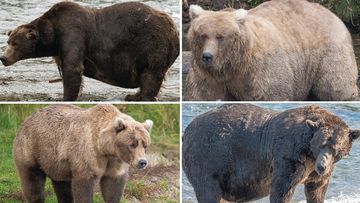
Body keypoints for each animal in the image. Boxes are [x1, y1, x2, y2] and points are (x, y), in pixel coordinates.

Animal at [0, 0, 180, 100]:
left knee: (151, 73)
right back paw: (134, 95)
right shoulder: (60, 48)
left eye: (15, 43)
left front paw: (66, 97)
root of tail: (174, 30)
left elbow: (72, 69)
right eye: (8, 41)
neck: (53, 34)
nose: (3, 58)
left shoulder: (73, 34)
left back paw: (138, 97)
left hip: (151, 43)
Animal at [13, 104, 152, 203]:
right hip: (32, 150)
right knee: (33, 183)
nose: (142, 162)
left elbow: (113, 187)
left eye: (145, 144)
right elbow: (84, 187)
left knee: (62, 186)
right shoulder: (87, 153)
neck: (105, 148)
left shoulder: (116, 161)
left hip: (56, 162)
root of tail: (26, 120)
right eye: (132, 144)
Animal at [183, 104, 360, 202]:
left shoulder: (315, 171)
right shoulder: (289, 156)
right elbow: (282, 189)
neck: (309, 152)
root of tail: (187, 130)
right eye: (321, 144)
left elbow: (317, 190)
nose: (322, 166)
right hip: (208, 158)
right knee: (208, 191)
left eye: (335, 148)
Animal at [184, 0, 358, 101]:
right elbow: (204, 95)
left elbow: (272, 93)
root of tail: (333, 15)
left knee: (335, 86)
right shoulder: (209, 77)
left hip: (328, 53)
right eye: (202, 35)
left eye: (220, 36)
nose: (207, 56)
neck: (234, 65)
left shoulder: (261, 71)